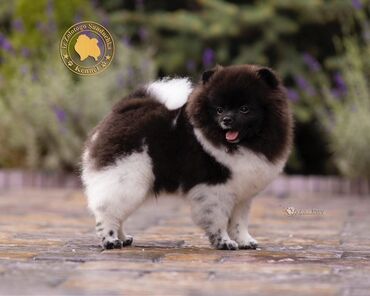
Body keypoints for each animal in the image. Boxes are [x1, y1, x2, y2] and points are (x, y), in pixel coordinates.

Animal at [82, 64, 294, 250]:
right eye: (219, 109)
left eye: (245, 109)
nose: (226, 120)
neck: (243, 143)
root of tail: (124, 108)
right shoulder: (215, 190)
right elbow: (219, 221)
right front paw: (225, 243)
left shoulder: (242, 194)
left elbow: (239, 222)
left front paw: (244, 242)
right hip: (126, 178)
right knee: (108, 212)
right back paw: (111, 241)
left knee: (118, 214)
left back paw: (124, 238)